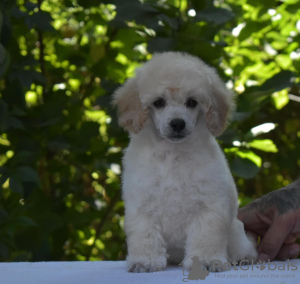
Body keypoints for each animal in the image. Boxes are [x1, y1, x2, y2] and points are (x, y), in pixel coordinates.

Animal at [112, 51, 258, 272]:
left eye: (192, 102)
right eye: (159, 102)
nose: (177, 123)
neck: (172, 154)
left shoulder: (209, 205)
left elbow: (206, 236)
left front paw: (206, 261)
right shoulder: (142, 204)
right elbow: (145, 236)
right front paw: (145, 261)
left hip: (235, 232)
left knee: (242, 247)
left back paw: (245, 258)